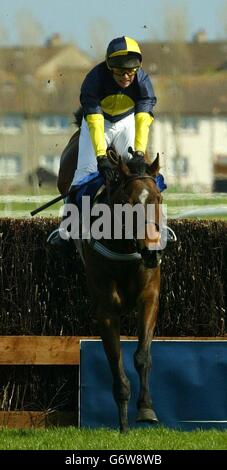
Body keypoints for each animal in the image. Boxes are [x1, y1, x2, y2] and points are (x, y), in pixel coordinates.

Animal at [69, 152, 163, 432]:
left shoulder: (149, 298)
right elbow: (115, 362)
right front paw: (123, 427)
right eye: (128, 202)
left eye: (158, 198)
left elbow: (142, 356)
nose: (152, 252)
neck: (126, 249)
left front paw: (146, 409)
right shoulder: (106, 311)